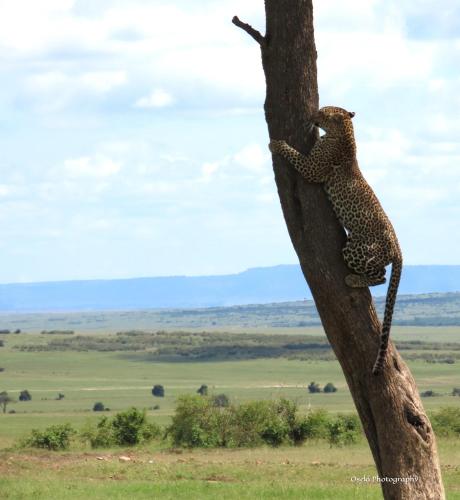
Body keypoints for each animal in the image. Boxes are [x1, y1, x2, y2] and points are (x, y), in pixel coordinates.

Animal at [270, 107, 402, 376]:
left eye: (323, 112)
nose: (313, 116)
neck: (345, 134)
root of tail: (398, 248)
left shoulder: (312, 169)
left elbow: (295, 154)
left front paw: (277, 144)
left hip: (356, 249)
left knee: (381, 276)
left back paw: (354, 279)